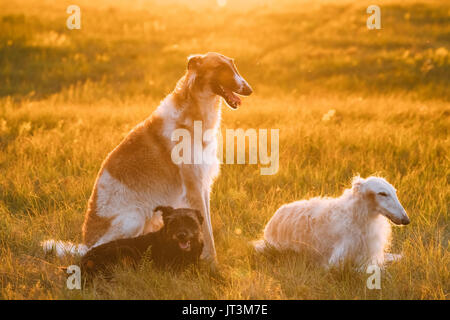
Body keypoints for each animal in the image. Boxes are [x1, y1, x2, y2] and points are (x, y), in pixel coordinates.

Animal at [43, 52, 253, 264]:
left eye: (233, 65)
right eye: (221, 68)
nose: (249, 89)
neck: (192, 116)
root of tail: (86, 245)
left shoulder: (203, 186)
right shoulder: (193, 186)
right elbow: (208, 234)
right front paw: (212, 264)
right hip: (134, 216)